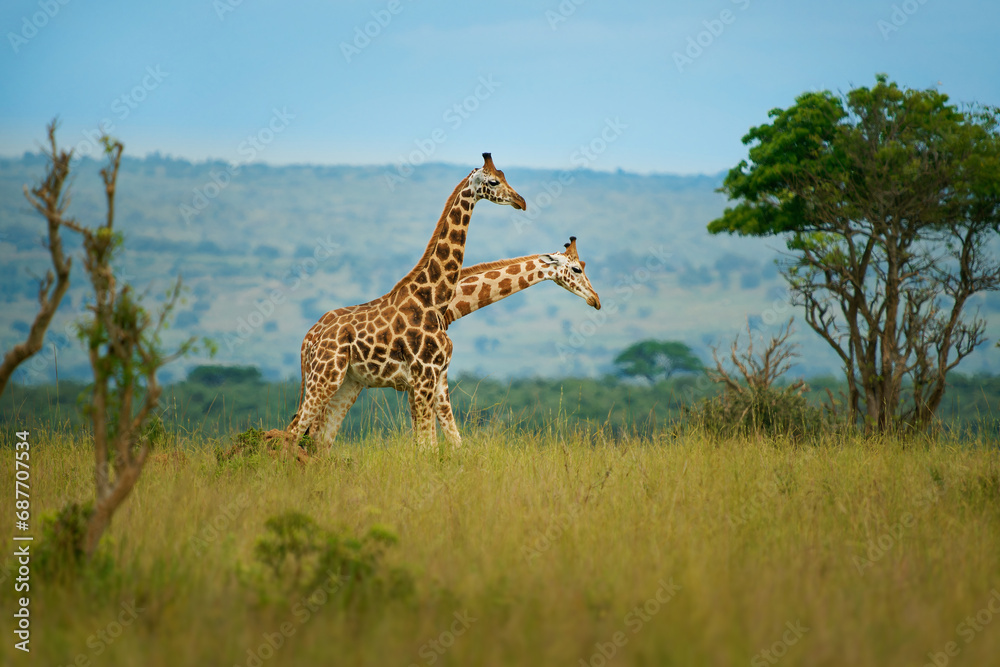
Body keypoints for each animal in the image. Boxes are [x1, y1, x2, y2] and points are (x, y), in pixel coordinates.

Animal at [285, 153, 526, 452]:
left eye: (504, 176)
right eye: (494, 181)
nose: (521, 201)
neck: (434, 298)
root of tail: (309, 339)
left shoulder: (433, 378)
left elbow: (435, 442)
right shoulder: (423, 376)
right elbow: (426, 445)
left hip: (347, 382)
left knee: (319, 439)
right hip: (325, 376)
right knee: (294, 431)